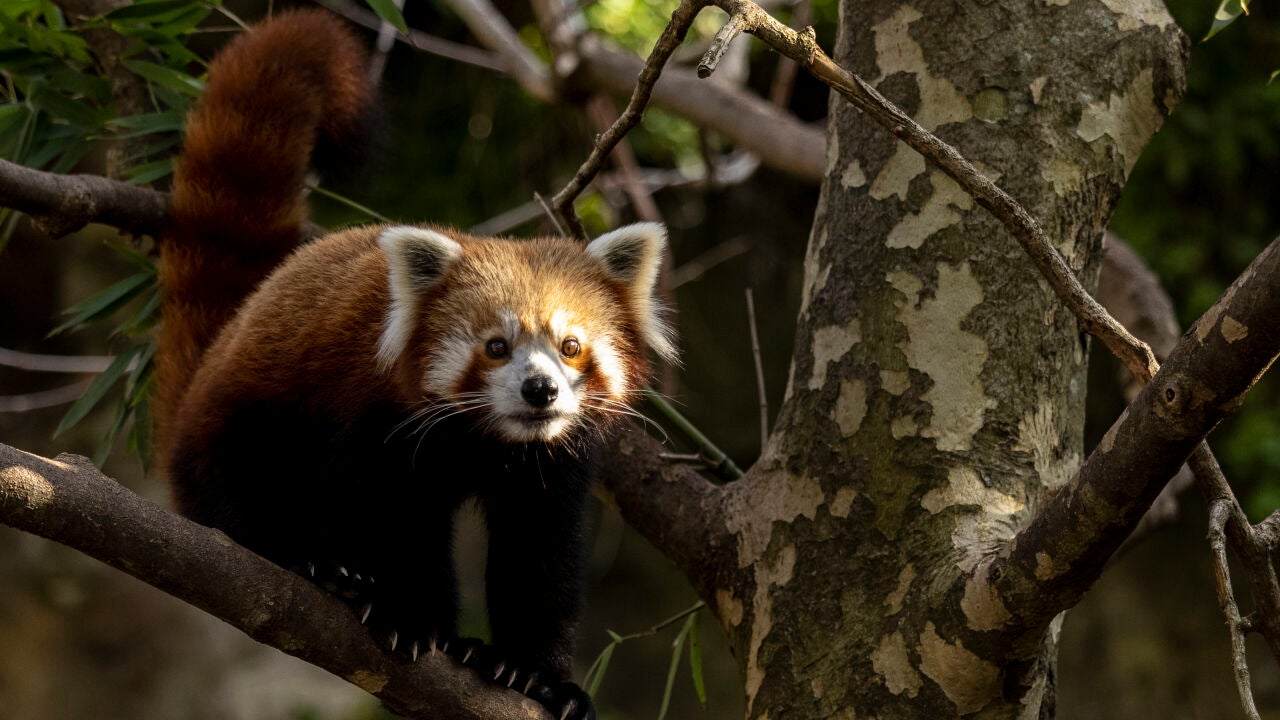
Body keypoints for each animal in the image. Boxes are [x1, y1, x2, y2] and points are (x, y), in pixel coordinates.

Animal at [153, 11, 675, 717]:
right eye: (496, 346)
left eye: (570, 346)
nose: (540, 391)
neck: (488, 438)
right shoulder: (379, 421)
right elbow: (399, 518)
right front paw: (416, 618)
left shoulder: (553, 463)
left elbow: (541, 557)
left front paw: (536, 674)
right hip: (242, 418)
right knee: (242, 483)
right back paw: (316, 562)